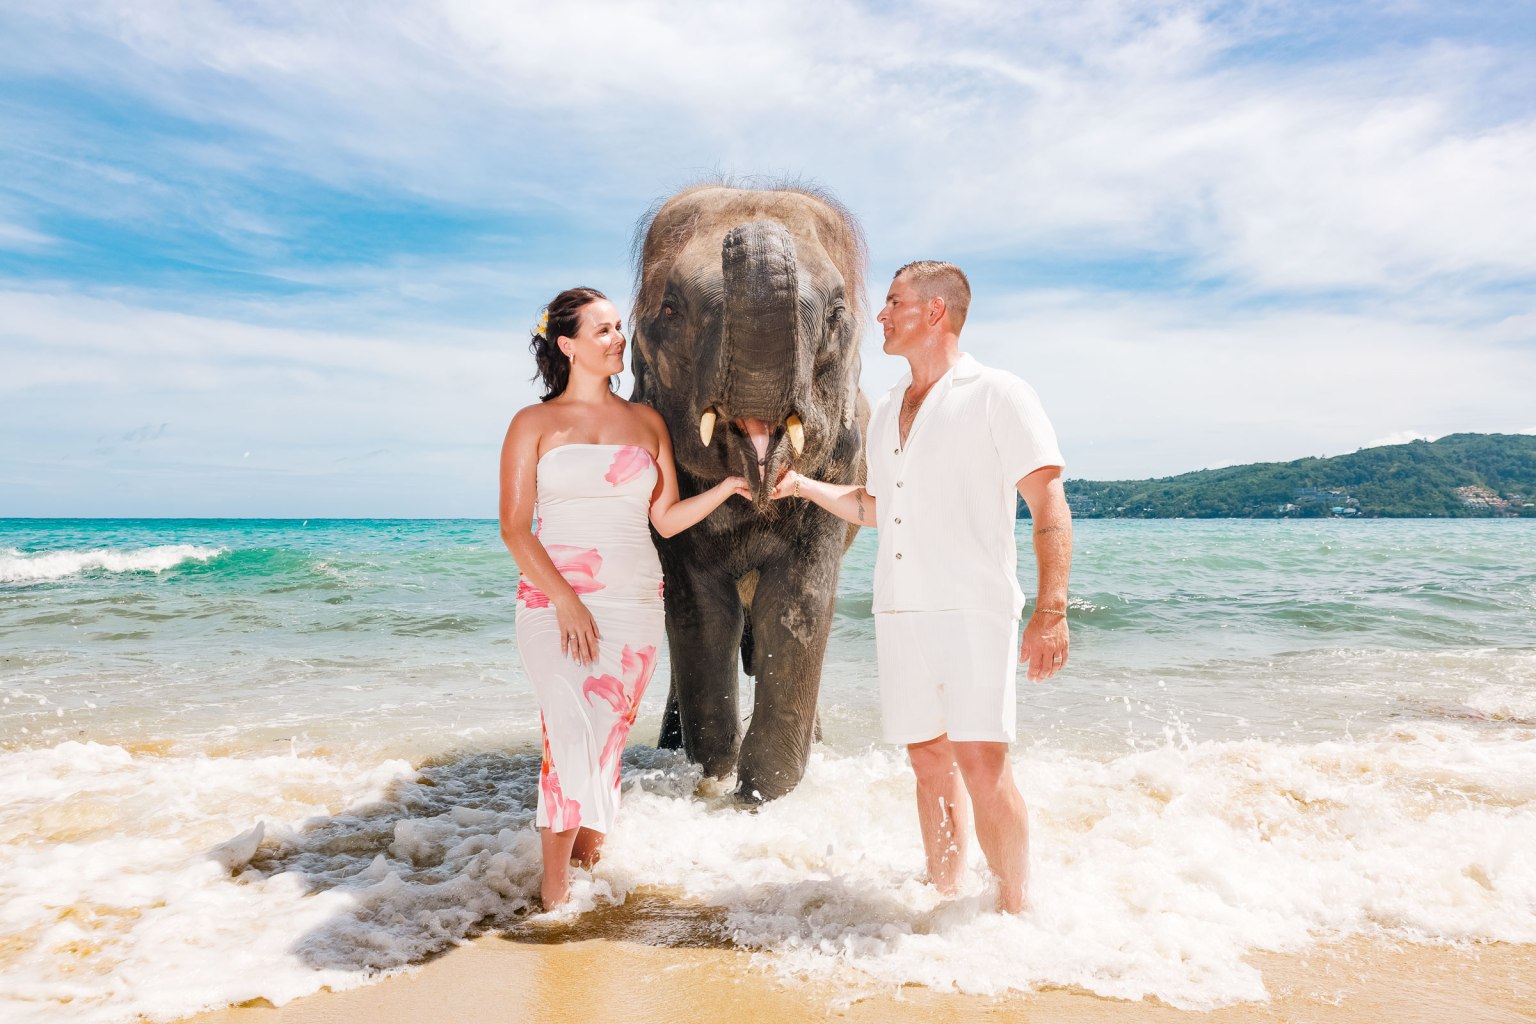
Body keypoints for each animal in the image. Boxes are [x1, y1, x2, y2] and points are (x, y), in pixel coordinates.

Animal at [628, 182, 869, 802]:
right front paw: (713, 780)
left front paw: (761, 797)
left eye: (836, 314)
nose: (752, 219)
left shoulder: (843, 466)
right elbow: (701, 611)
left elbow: (796, 605)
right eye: (671, 309)